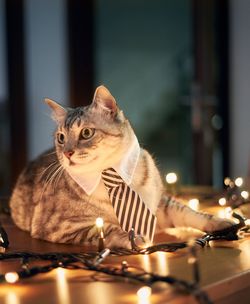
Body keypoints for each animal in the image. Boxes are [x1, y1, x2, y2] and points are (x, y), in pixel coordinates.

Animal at [8, 85, 233, 249]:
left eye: (86, 133)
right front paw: (135, 237)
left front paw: (220, 221)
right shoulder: (60, 226)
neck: (111, 173)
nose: (67, 153)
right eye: (61, 138)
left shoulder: (158, 203)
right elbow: (106, 229)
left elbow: (187, 211)